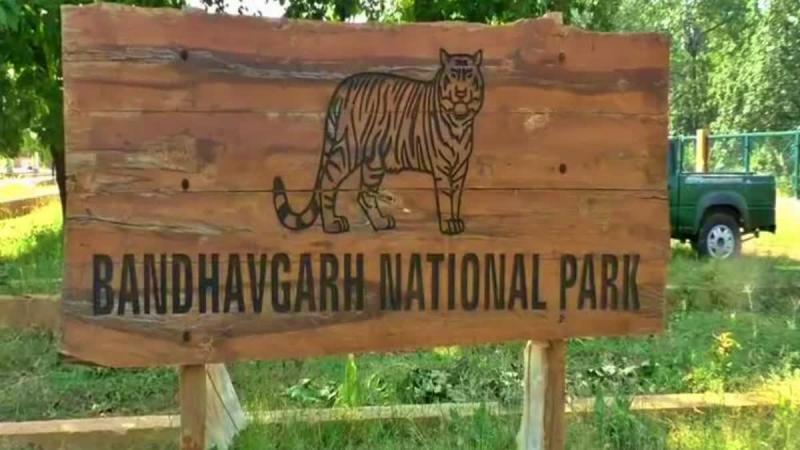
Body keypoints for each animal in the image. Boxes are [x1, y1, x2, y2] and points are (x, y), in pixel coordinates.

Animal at [272, 48, 484, 235]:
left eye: (469, 76)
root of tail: (344, 85)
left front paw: (456, 221)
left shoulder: (460, 167)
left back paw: (380, 223)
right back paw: (332, 224)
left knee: (365, 194)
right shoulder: (442, 166)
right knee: (328, 181)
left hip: (373, 162)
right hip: (350, 150)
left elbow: (456, 197)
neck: (460, 122)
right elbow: (446, 196)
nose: (460, 93)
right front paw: (449, 224)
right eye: (453, 75)